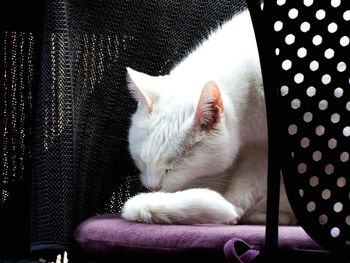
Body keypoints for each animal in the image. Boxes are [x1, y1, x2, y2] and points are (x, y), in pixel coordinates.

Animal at [120, 9, 296, 226]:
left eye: (172, 168)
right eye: (142, 161)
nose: (153, 188)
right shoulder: (261, 149)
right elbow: (248, 184)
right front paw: (231, 209)